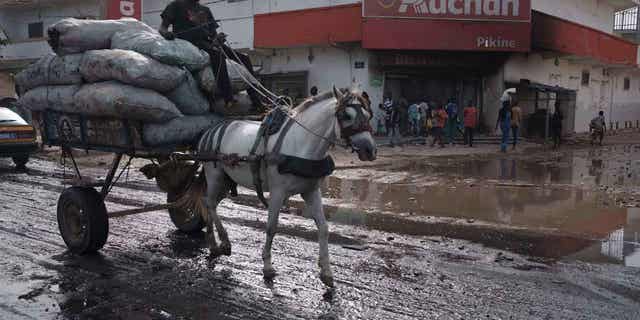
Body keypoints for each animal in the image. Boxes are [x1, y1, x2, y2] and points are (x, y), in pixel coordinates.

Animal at [184, 86, 376, 286]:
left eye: (368, 115)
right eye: (345, 115)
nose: (369, 150)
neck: (300, 144)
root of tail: (210, 130)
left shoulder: (311, 191)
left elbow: (323, 228)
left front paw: (326, 271)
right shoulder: (278, 192)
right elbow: (271, 227)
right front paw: (267, 267)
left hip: (227, 180)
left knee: (210, 202)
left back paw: (214, 243)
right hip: (214, 174)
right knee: (209, 203)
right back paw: (221, 242)